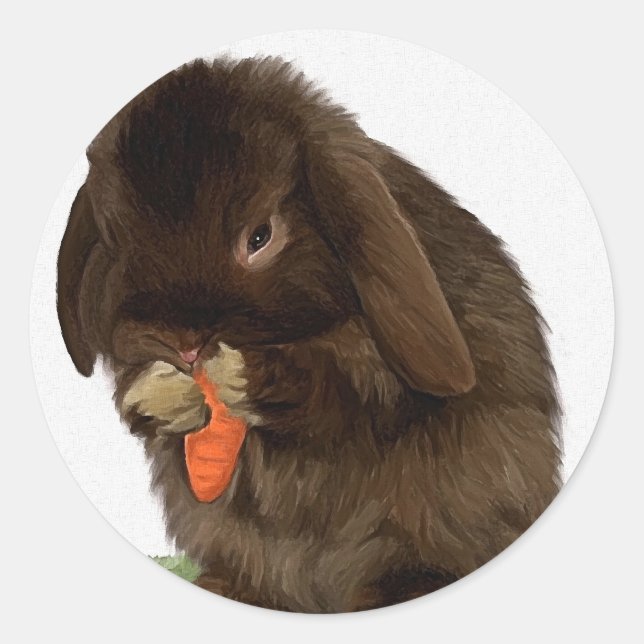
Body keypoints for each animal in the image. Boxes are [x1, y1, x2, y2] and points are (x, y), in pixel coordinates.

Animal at [56, 56, 561, 613]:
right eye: (119, 244)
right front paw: (163, 395)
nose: (186, 346)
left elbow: (352, 383)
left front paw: (239, 376)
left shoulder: (370, 364)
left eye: (260, 237)